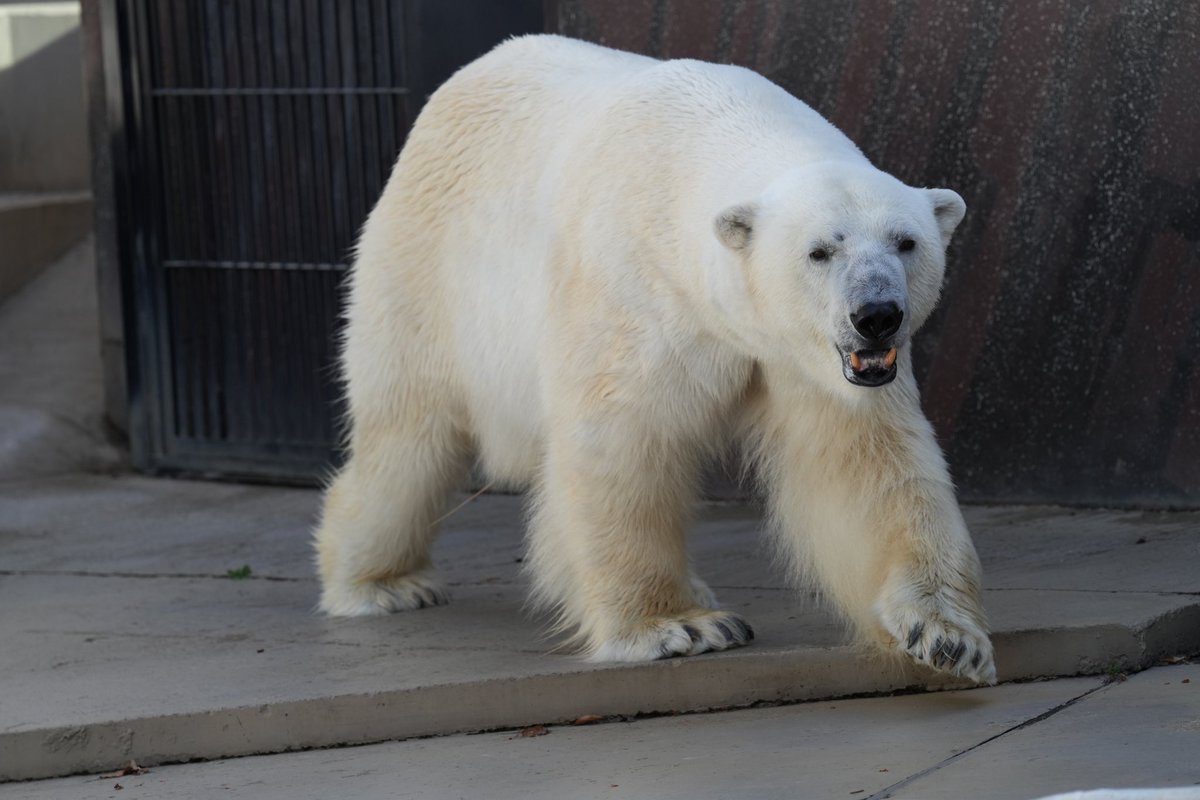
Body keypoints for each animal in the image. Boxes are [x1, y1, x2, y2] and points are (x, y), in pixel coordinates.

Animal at [314, 32, 998, 681]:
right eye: (820, 251)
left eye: (906, 242)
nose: (877, 314)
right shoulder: (636, 292)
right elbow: (622, 441)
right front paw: (677, 628)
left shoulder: (810, 362)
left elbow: (869, 464)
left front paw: (946, 637)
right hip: (424, 274)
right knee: (408, 439)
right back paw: (380, 584)